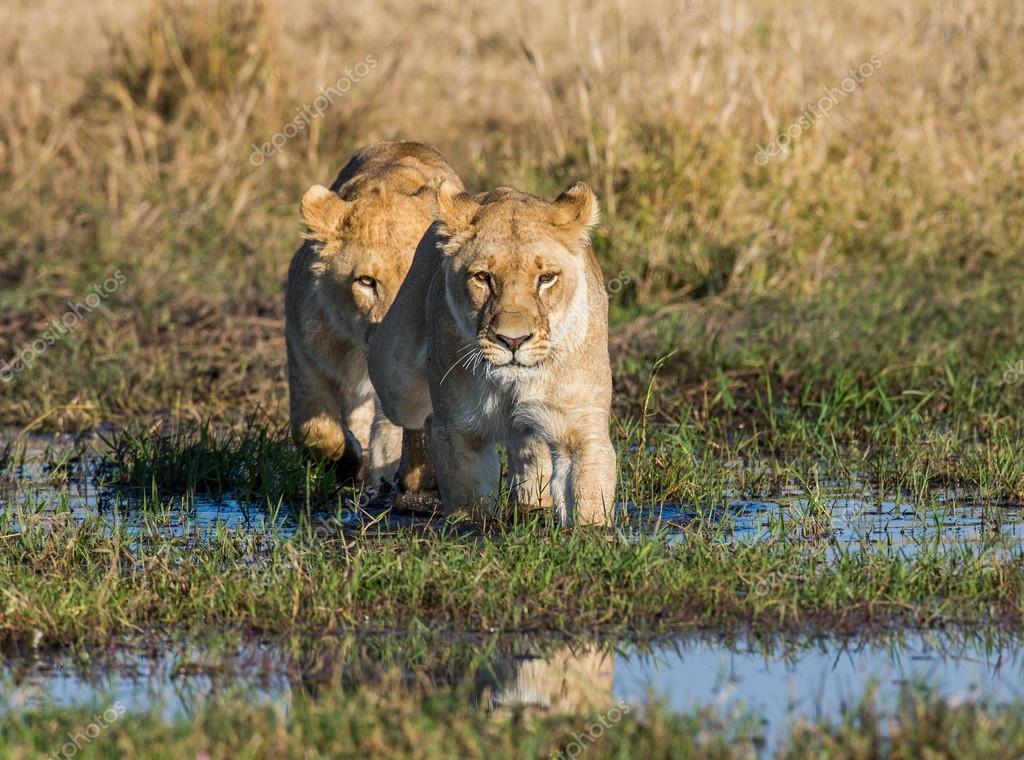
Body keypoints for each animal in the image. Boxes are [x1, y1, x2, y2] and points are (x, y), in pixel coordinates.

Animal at [368, 180, 617, 524]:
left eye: (546, 278)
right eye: (483, 277)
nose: (513, 340)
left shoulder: (580, 427)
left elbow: (588, 495)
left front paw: (589, 528)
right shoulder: (459, 428)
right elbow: (468, 501)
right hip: (396, 377)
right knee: (410, 415)